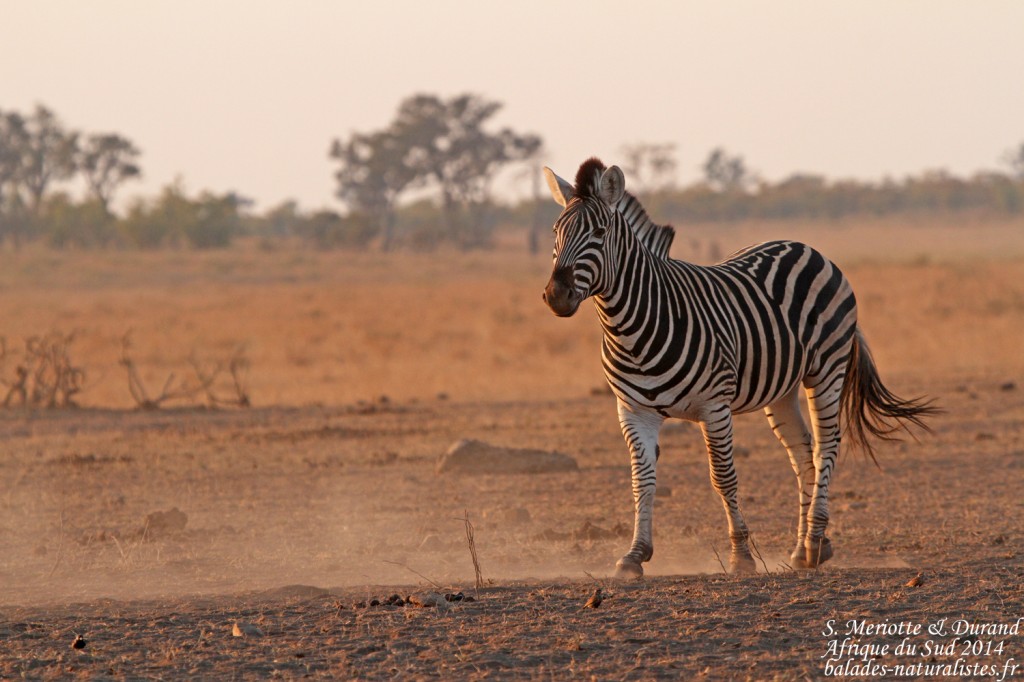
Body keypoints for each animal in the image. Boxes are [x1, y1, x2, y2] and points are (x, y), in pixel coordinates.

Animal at [541, 157, 936, 578]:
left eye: (599, 233)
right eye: (555, 232)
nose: (556, 295)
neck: (633, 327)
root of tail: (805, 247)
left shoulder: (714, 407)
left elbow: (723, 478)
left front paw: (741, 555)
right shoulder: (634, 411)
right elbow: (641, 480)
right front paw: (635, 554)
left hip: (826, 369)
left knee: (826, 446)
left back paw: (814, 542)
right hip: (782, 389)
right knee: (802, 452)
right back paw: (803, 548)